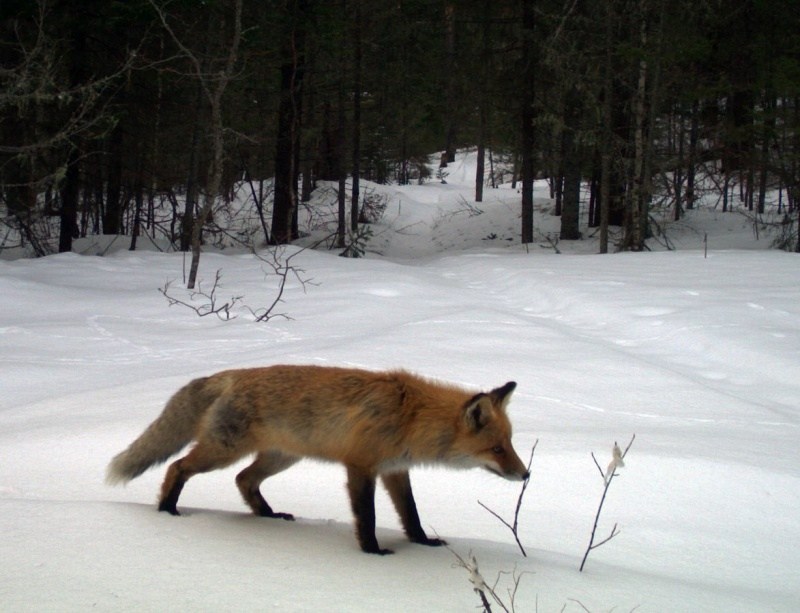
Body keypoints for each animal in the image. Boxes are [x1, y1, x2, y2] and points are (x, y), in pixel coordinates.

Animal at [108, 366, 532, 552]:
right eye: (497, 449)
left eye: (510, 443)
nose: (526, 475)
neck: (410, 416)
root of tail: (228, 375)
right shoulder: (361, 467)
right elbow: (368, 517)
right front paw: (372, 551)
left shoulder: (395, 470)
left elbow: (410, 514)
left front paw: (422, 542)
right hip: (223, 451)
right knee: (177, 467)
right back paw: (167, 509)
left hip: (279, 459)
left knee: (244, 480)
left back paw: (268, 516)